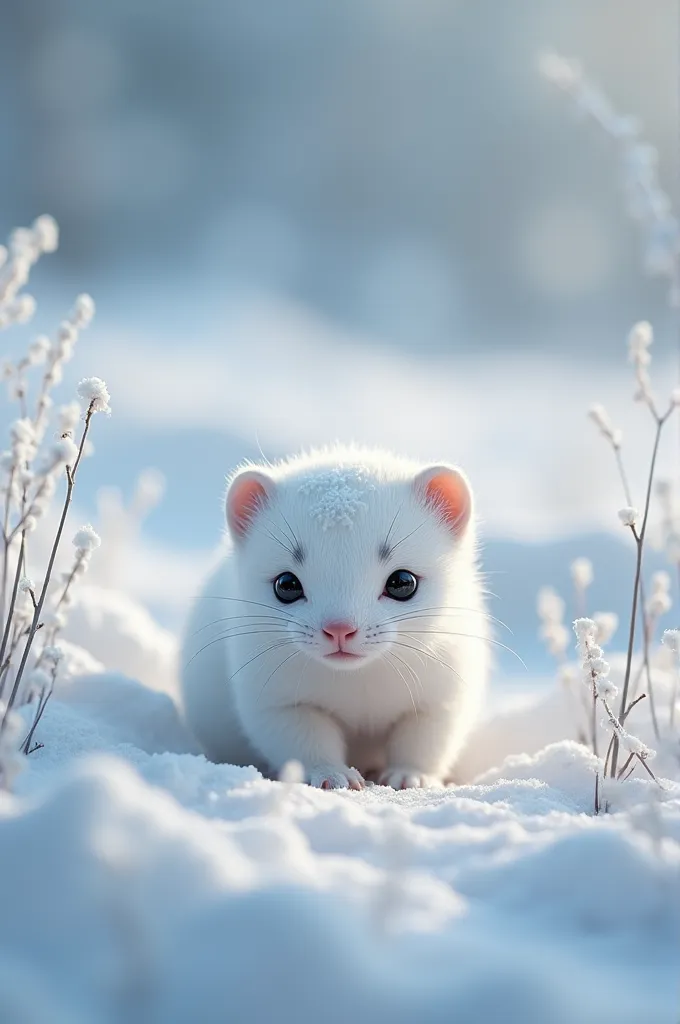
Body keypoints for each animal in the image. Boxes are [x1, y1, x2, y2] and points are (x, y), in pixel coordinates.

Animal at [179, 444, 489, 786]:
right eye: (286, 584)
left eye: (403, 582)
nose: (339, 628)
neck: (358, 690)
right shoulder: (272, 694)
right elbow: (298, 737)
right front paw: (333, 776)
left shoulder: (445, 686)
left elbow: (428, 737)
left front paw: (410, 777)